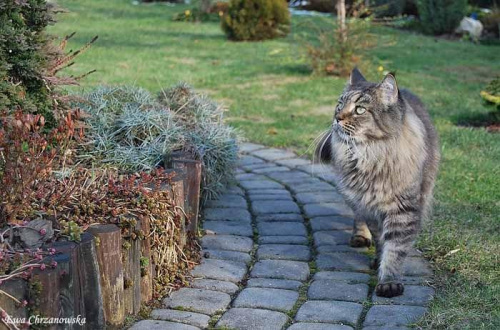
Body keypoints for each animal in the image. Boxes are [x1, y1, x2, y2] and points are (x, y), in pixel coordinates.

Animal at [318, 68, 440, 298]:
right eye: (339, 105)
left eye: (359, 110)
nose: (337, 118)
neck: (370, 155)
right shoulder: (369, 206)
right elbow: (381, 240)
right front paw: (379, 263)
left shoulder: (402, 210)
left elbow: (394, 248)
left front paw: (389, 282)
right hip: (353, 196)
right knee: (358, 217)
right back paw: (359, 237)